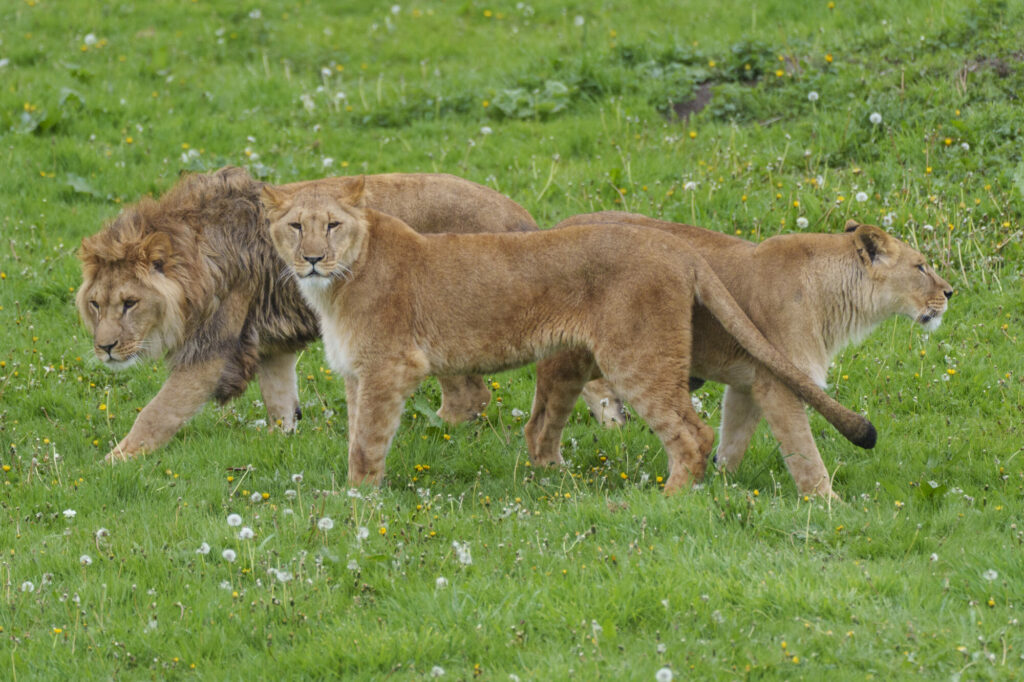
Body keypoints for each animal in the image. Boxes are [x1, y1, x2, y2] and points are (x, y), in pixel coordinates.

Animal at [76, 166, 583, 462]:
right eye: (95, 304)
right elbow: (280, 404)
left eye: (130, 303)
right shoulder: (271, 348)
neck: (196, 251)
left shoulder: (211, 351)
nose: (104, 348)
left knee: (470, 397)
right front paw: (279, 448)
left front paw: (109, 466)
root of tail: (524, 220)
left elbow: (155, 415)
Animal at [261, 180, 876, 493]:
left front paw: (358, 504)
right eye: (294, 227)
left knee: (692, 434)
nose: (312, 259)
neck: (337, 286)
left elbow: (366, 441)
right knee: (549, 427)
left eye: (332, 225)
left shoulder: (390, 368)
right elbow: (355, 435)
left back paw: (667, 501)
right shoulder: (357, 373)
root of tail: (676, 248)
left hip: (636, 357)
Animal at [562, 212, 953, 496]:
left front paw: (720, 483)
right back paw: (612, 419)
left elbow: (734, 440)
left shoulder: (748, 384)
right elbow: (805, 453)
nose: (951, 292)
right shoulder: (779, 384)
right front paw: (830, 504)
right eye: (920, 267)